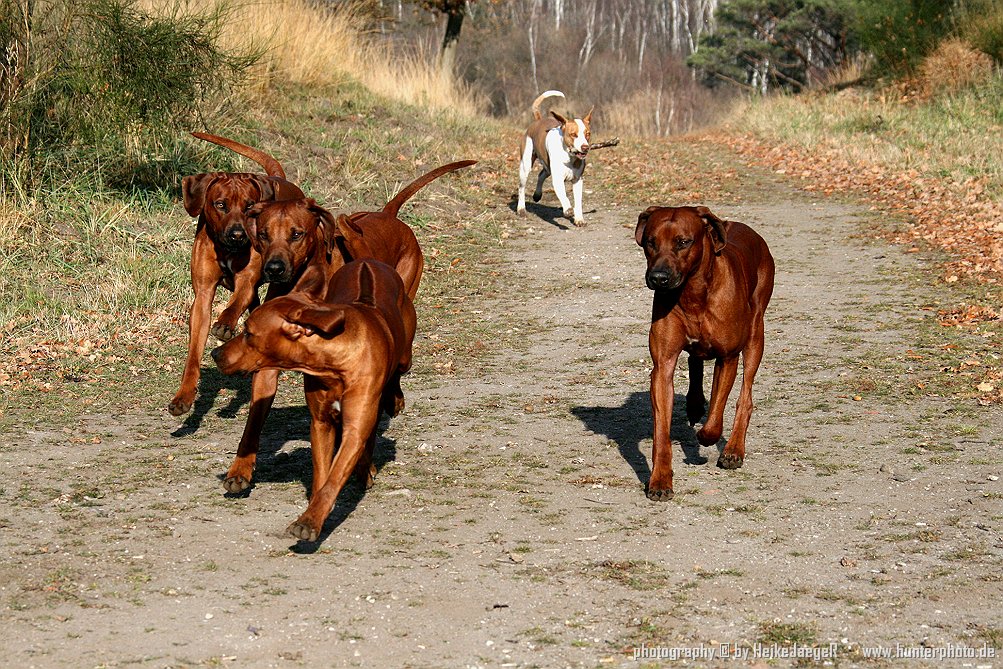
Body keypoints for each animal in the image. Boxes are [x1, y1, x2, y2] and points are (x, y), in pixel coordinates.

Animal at [211, 258, 415, 541]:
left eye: (249, 333)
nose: (215, 353)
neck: (334, 365)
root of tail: (366, 261)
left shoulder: (355, 424)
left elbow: (335, 475)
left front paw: (309, 522)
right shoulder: (321, 423)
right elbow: (323, 473)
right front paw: (313, 513)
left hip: (405, 355)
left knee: (396, 377)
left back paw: (393, 403)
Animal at [218, 160, 473, 497]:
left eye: (297, 234)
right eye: (263, 234)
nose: (273, 268)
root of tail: (388, 214)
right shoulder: (269, 356)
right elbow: (255, 417)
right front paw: (240, 469)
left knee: (397, 368)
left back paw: (393, 399)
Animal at [521, 90, 589, 226]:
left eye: (588, 134)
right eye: (573, 134)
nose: (585, 147)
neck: (570, 157)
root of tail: (538, 120)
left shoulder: (577, 180)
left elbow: (578, 201)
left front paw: (579, 218)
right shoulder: (557, 180)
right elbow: (563, 195)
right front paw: (568, 209)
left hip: (547, 166)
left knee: (542, 174)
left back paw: (537, 195)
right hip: (525, 165)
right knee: (521, 187)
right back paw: (521, 209)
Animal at [633, 206, 774, 499]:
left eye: (683, 242)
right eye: (651, 242)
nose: (658, 278)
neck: (693, 293)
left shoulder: (728, 357)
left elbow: (715, 418)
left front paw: (706, 439)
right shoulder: (662, 366)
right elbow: (661, 431)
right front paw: (660, 480)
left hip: (756, 333)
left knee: (746, 394)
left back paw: (733, 449)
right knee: (695, 359)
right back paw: (695, 403)